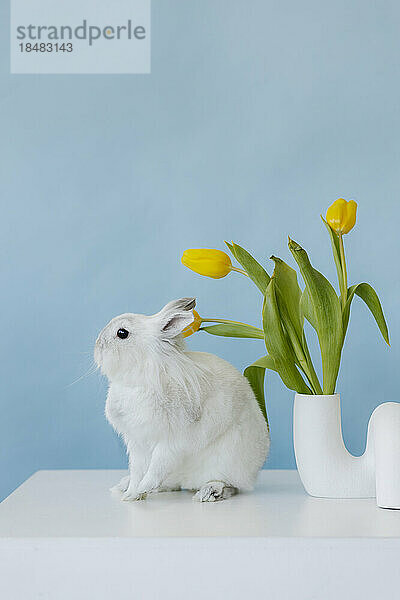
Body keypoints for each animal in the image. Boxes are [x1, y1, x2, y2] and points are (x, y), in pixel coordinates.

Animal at [94, 296, 268, 502]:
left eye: (122, 333)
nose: (97, 345)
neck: (138, 381)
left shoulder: (171, 443)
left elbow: (155, 469)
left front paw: (140, 489)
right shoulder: (137, 443)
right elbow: (137, 471)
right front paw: (131, 494)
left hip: (228, 463)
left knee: (231, 485)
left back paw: (209, 492)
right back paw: (126, 485)